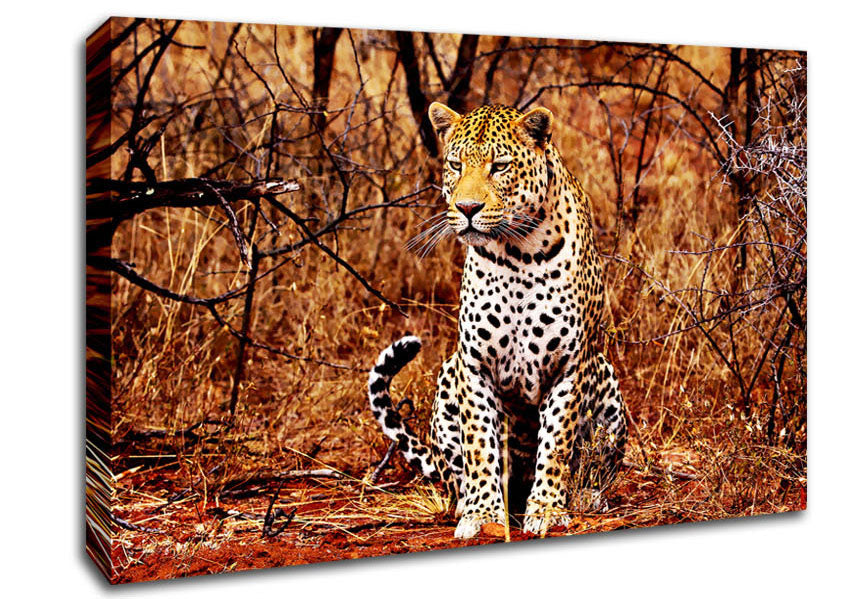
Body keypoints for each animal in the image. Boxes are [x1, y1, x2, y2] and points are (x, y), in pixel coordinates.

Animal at [368, 102, 627, 539]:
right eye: (455, 164)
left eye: (500, 166)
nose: (467, 209)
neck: (517, 252)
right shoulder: (475, 365)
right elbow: (479, 447)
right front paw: (483, 514)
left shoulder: (569, 366)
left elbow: (556, 443)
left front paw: (547, 509)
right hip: (447, 376)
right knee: (455, 473)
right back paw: (468, 502)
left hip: (606, 381)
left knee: (595, 464)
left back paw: (584, 494)